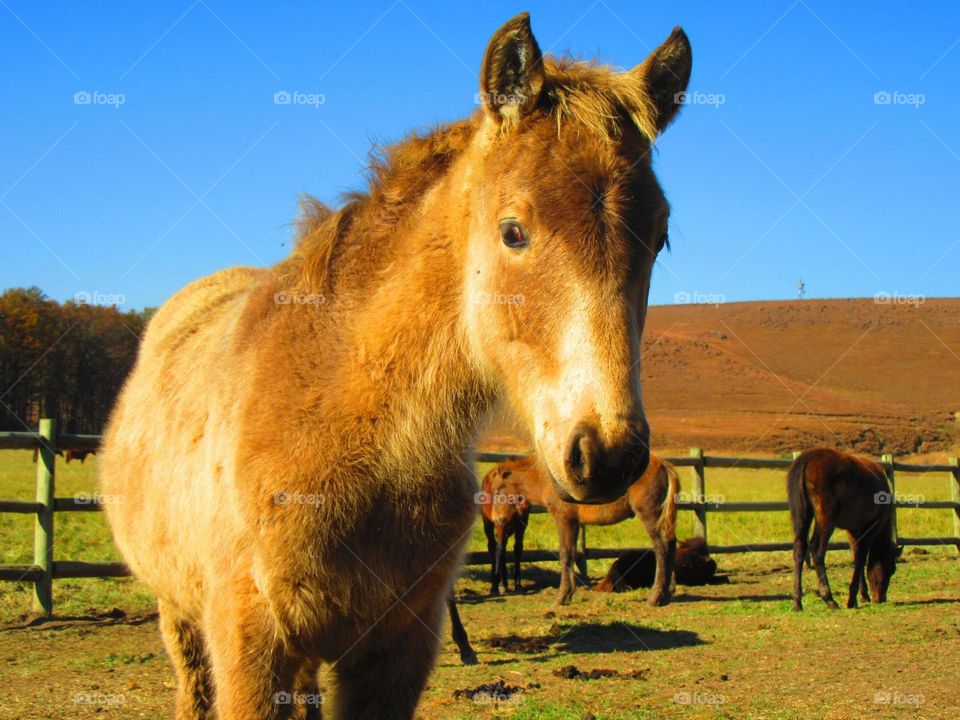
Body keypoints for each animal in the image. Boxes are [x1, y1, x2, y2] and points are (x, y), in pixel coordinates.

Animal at [480, 463, 532, 594]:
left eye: (499, 491)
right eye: (496, 492)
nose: (496, 517)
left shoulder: (521, 527)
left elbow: (518, 549)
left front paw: (518, 584)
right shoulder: (501, 525)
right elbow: (500, 550)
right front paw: (495, 585)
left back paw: (504, 582)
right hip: (489, 524)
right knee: (493, 546)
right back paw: (498, 583)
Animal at [499, 453, 679, 606]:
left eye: (498, 489)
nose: (500, 519)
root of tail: (663, 465)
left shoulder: (565, 521)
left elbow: (565, 555)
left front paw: (562, 596)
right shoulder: (575, 524)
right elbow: (572, 554)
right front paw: (568, 594)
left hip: (650, 517)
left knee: (662, 548)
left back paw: (655, 597)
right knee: (670, 545)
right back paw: (667, 593)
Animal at [787, 447, 898, 611]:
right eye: (891, 569)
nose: (881, 598)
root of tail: (807, 459)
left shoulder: (854, 531)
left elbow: (856, 555)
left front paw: (863, 595)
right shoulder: (870, 528)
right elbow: (861, 557)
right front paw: (852, 598)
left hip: (803, 516)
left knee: (799, 549)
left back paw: (797, 602)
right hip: (826, 522)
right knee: (817, 550)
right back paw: (829, 598)